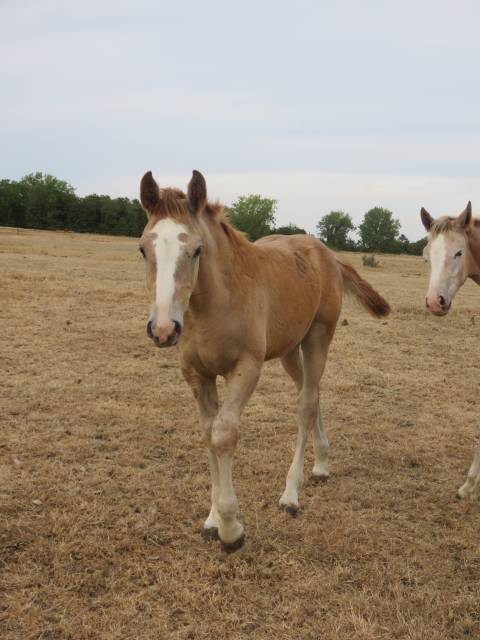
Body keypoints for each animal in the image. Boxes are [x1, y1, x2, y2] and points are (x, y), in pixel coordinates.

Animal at [138, 170, 390, 551]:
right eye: (143, 249)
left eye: (196, 250)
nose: (164, 329)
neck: (217, 303)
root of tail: (328, 254)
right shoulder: (196, 373)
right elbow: (207, 433)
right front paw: (212, 520)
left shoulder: (247, 368)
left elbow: (224, 433)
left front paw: (231, 529)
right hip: (289, 349)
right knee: (312, 394)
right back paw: (322, 465)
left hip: (318, 337)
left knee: (305, 404)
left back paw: (291, 495)